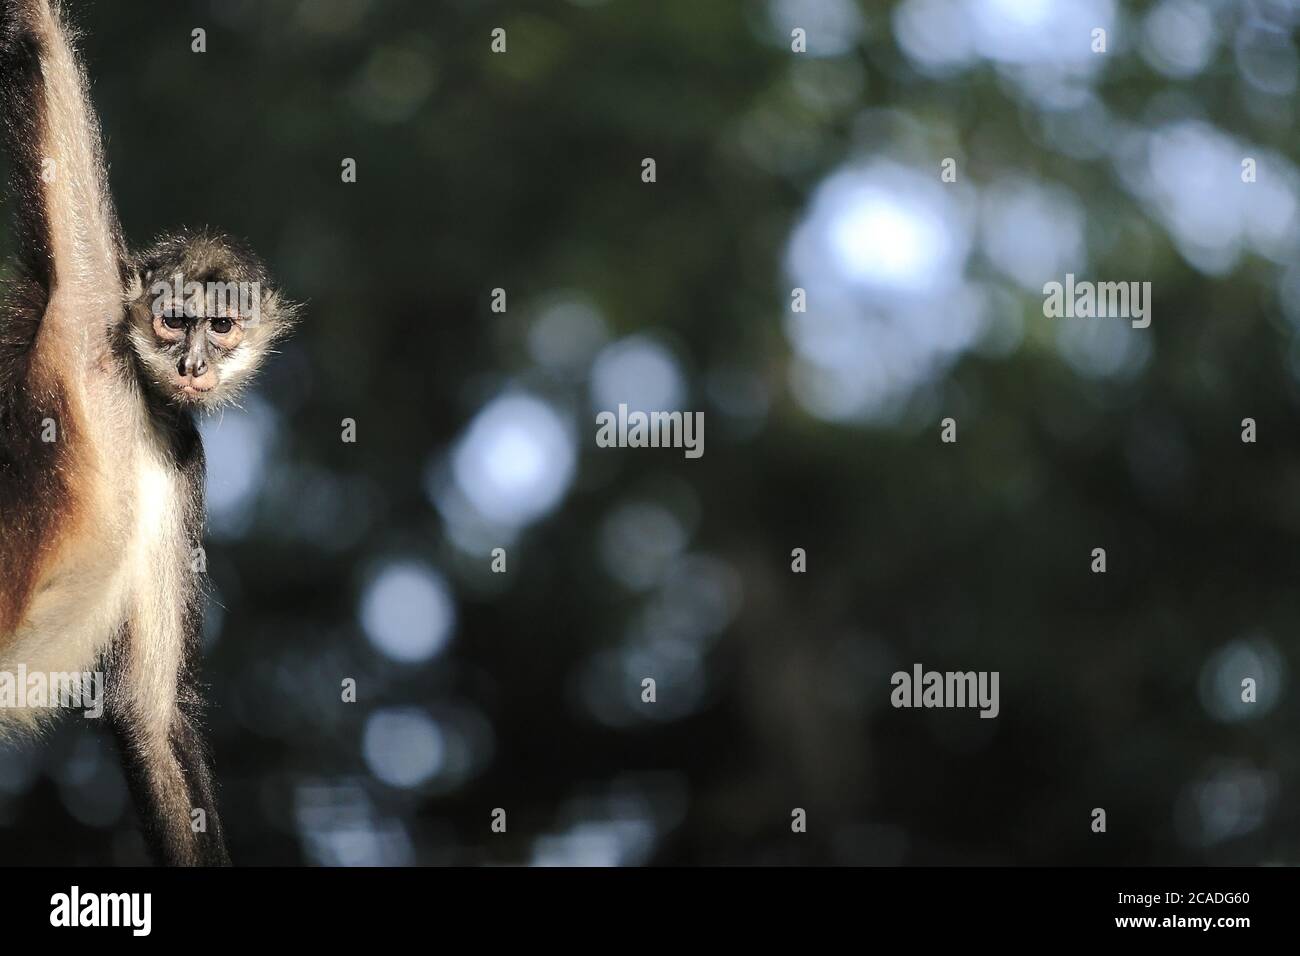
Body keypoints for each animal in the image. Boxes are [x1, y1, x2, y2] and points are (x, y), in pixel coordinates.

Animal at [0, 0, 297, 864]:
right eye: (172, 320)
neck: (137, 401)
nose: (193, 363)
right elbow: (37, 42)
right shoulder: (85, 304)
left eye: (221, 326)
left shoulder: (182, 450)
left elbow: (151, 716)